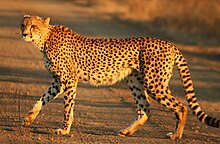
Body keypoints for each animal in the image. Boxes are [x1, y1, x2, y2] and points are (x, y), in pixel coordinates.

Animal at [20, 15, 218, 139]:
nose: (24, 34)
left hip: (154, 83)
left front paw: (64, 130)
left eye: (33, 26)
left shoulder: (69, 80)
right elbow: (42, 99)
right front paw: (29, 117)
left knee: (181, 107)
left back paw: (176, 135)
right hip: (135, 81)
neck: (45, 38)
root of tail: (169, 43)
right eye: (23, 25)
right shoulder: (58, 82)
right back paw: (127, 131)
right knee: (145, 109)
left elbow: (67, 108)